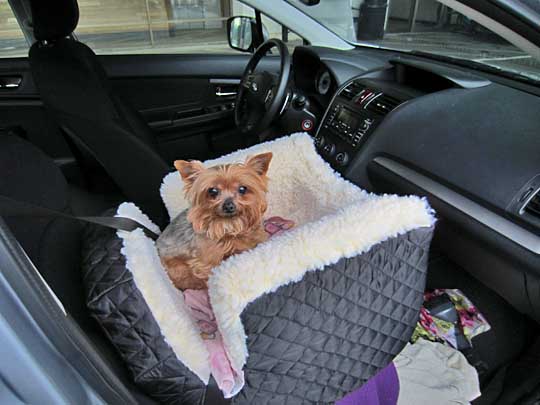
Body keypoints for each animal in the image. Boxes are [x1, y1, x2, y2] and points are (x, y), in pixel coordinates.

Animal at [157, 152, 274, 290]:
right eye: (212, 191)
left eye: (242, 189)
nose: (229, 205)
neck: (230, 226)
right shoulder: (207, 262)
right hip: (176, 265)